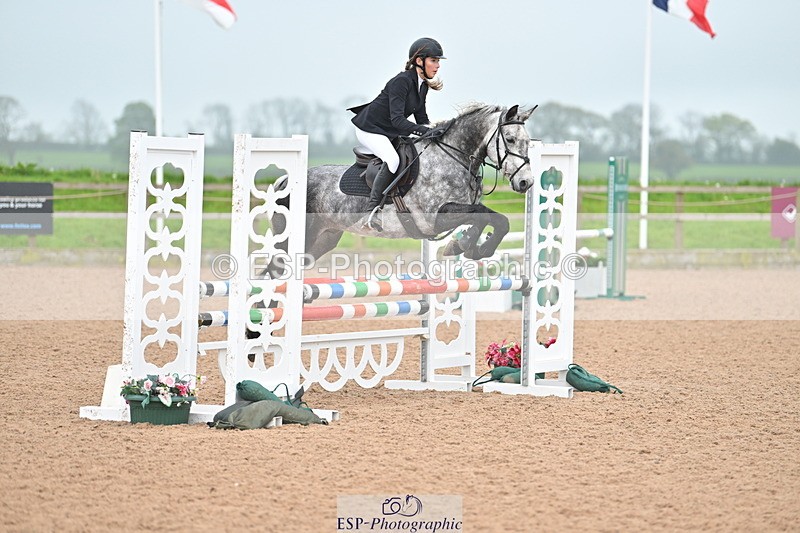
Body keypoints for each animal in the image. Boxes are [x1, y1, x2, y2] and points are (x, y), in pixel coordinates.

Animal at [273, 103, 537, 263]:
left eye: (528, 141)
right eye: (510, 139)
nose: (526, 182)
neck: (455, 156)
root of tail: (284, 182)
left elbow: (495, 220)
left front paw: (472, 248)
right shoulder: (436, 218)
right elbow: (485, 217)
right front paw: (461, 246)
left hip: (324, 238)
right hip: (295, 239)